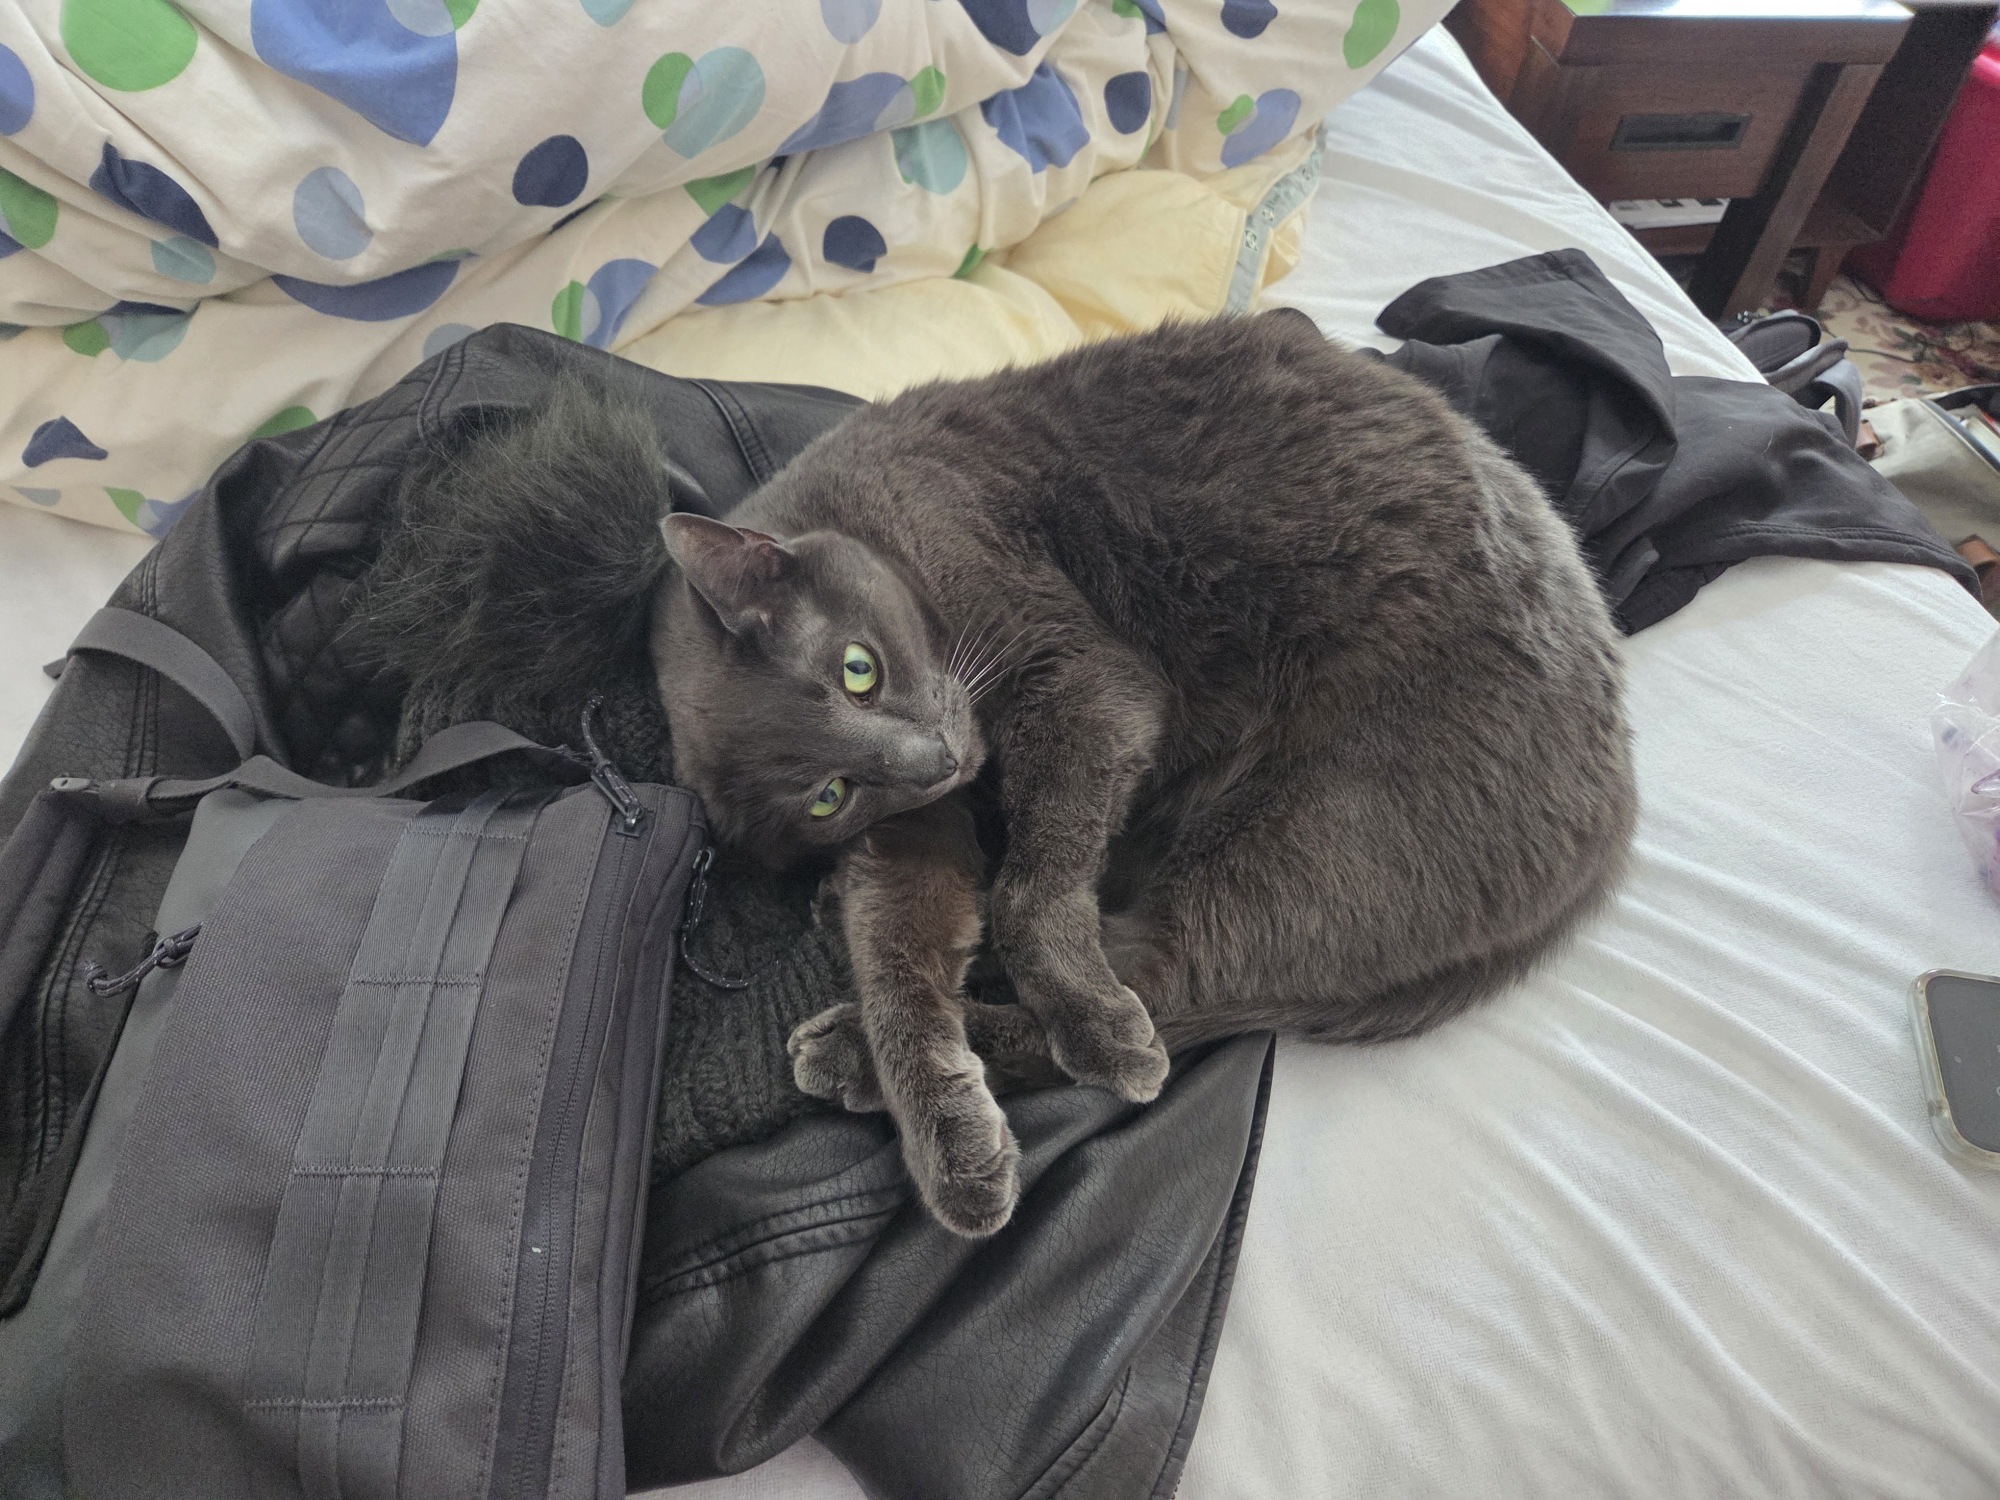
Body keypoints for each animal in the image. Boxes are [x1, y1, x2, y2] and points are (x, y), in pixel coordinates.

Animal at [647, 310, 1636, 1237]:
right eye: (829, 796)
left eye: (859, 669)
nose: (934, 760)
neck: (873, 524)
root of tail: (1612, 834)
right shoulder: (913, 824)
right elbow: (899, 959)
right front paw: (948, 1140)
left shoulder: (1079, 674)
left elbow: (1029, 891)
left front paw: (1087, 1028)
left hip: (1315, 831)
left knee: (1168, 979)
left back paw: (908, 1046)